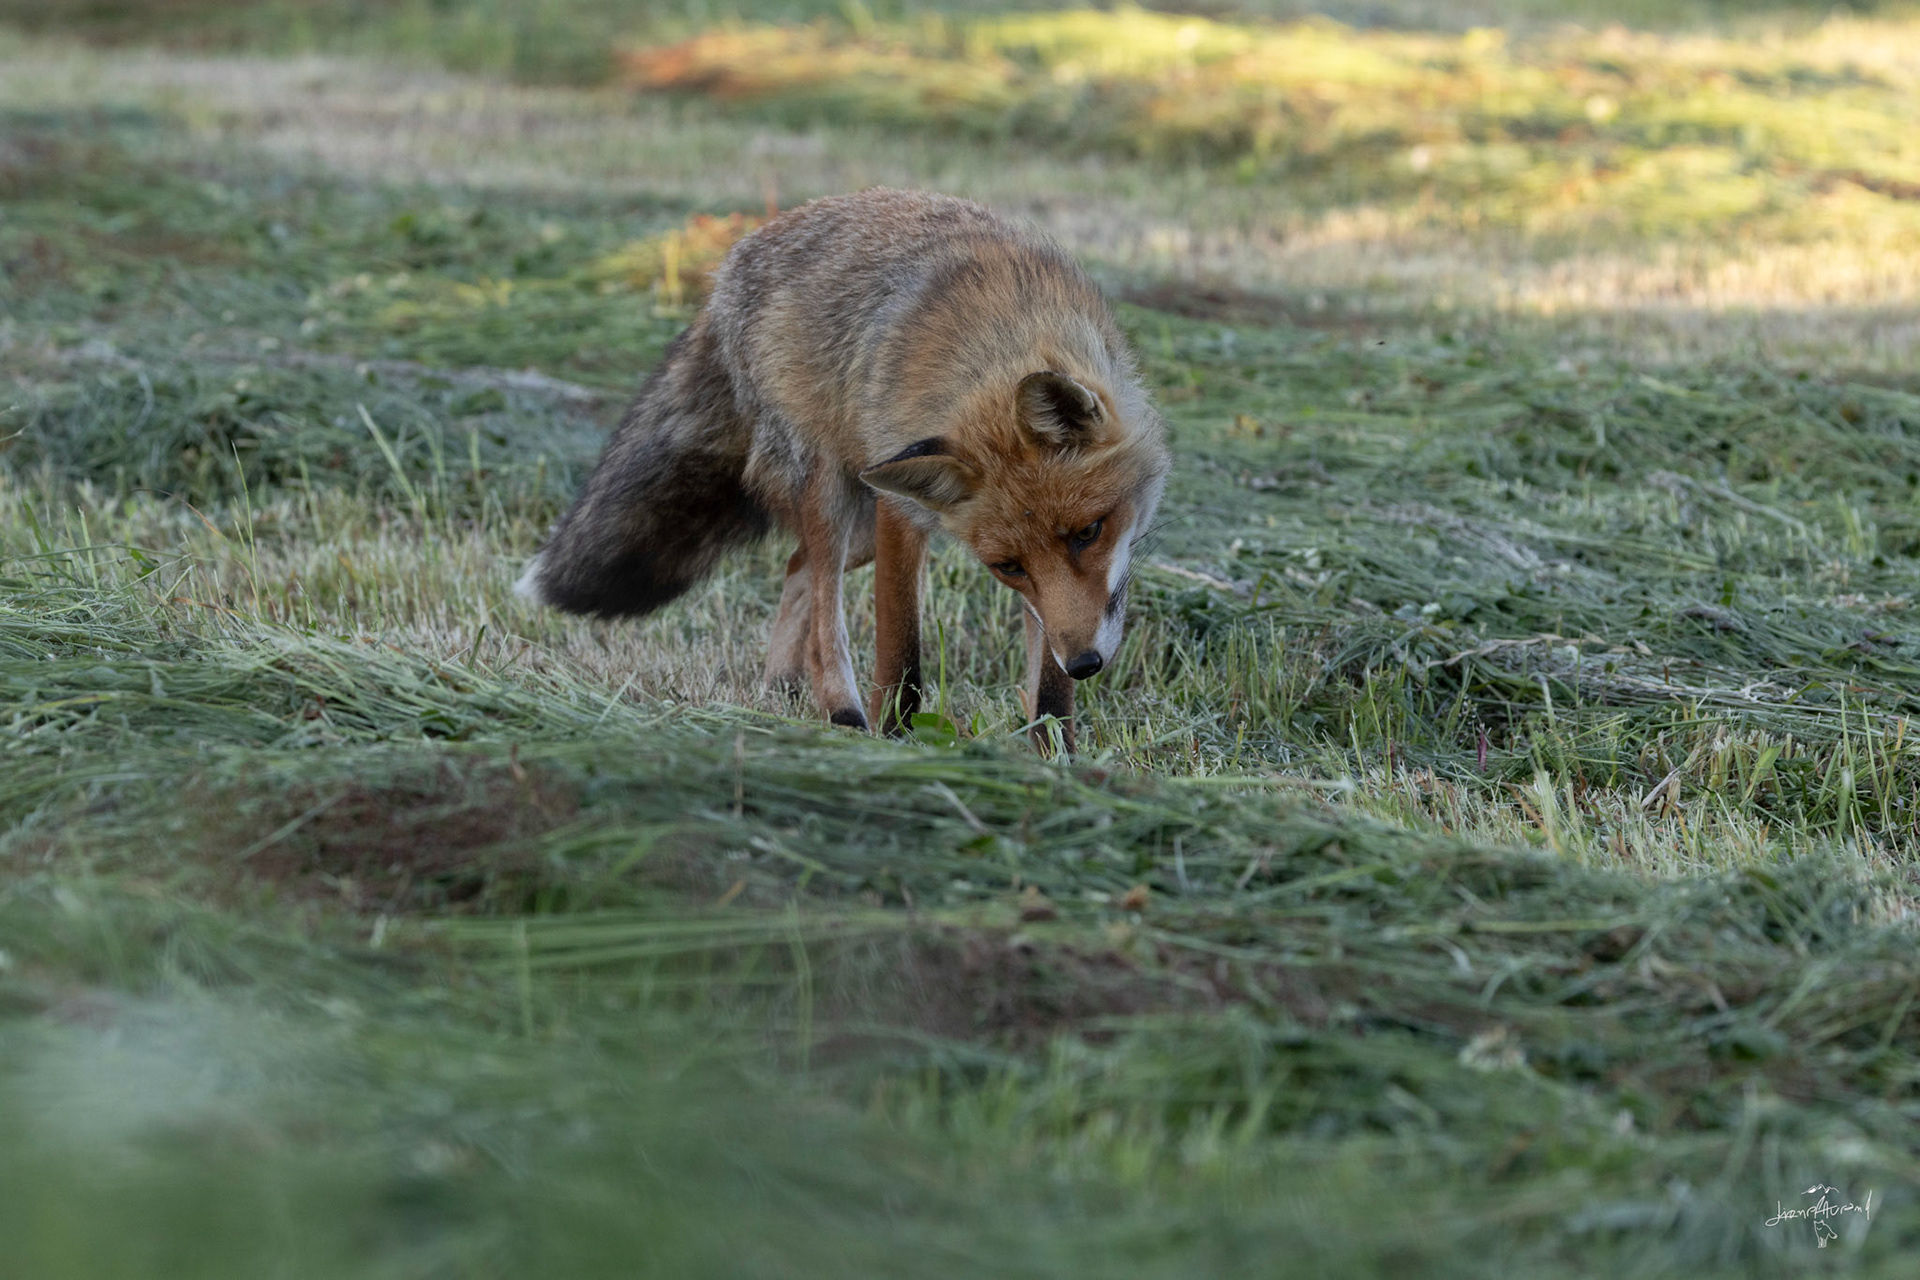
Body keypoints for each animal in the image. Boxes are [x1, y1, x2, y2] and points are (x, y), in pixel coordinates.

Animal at [515, 188, 1171, 753]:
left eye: (1089, 532)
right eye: (1007, 566)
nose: (1086, 663)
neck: (993, 339)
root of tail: (730, 269)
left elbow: (1049, 693)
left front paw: (1056, 760)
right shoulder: (902, 517)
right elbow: (901, 658)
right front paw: (896, 741)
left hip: (862, 520)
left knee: (796, 566)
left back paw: (779, 688)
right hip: (836, 495)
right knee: (823, 606)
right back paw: (840, 710)